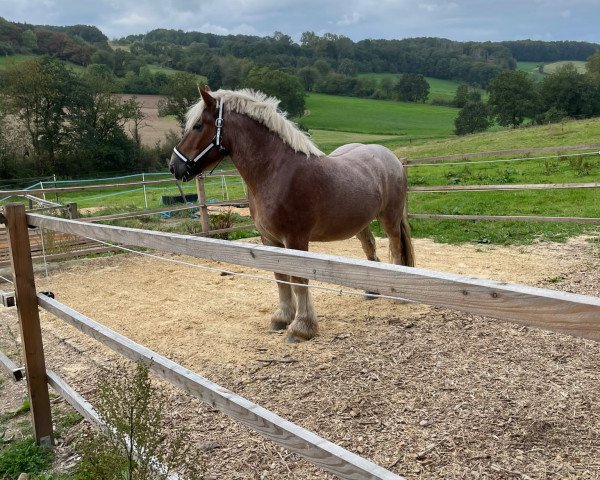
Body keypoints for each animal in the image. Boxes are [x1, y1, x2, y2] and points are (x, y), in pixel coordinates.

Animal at [169, 86, 412, 342]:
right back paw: (372, 291)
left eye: (197, 126)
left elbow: (298, 280)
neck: (276, 171)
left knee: (396, 248)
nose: (174, 166)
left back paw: (399, 296)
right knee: (370, 247)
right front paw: (282, 318)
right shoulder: (270, 239)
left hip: (390, 219)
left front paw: (301, 328)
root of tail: (392, 158)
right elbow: (281, 278)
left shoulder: (295, 239)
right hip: (360, 222)